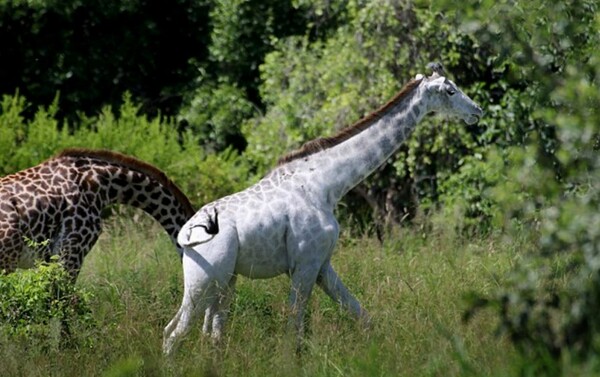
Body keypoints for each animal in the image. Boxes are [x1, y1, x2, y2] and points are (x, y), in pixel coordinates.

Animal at [163, 63, 482, 354]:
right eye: (450, 90)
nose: (477, 111)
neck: (326, 183)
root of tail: (185, 234)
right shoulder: (305, 264)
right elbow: (293, 330)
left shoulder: (322, 264)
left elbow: (362, 316)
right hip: (205, 281)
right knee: (174, 332)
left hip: (224, 282)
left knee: (207, 334)